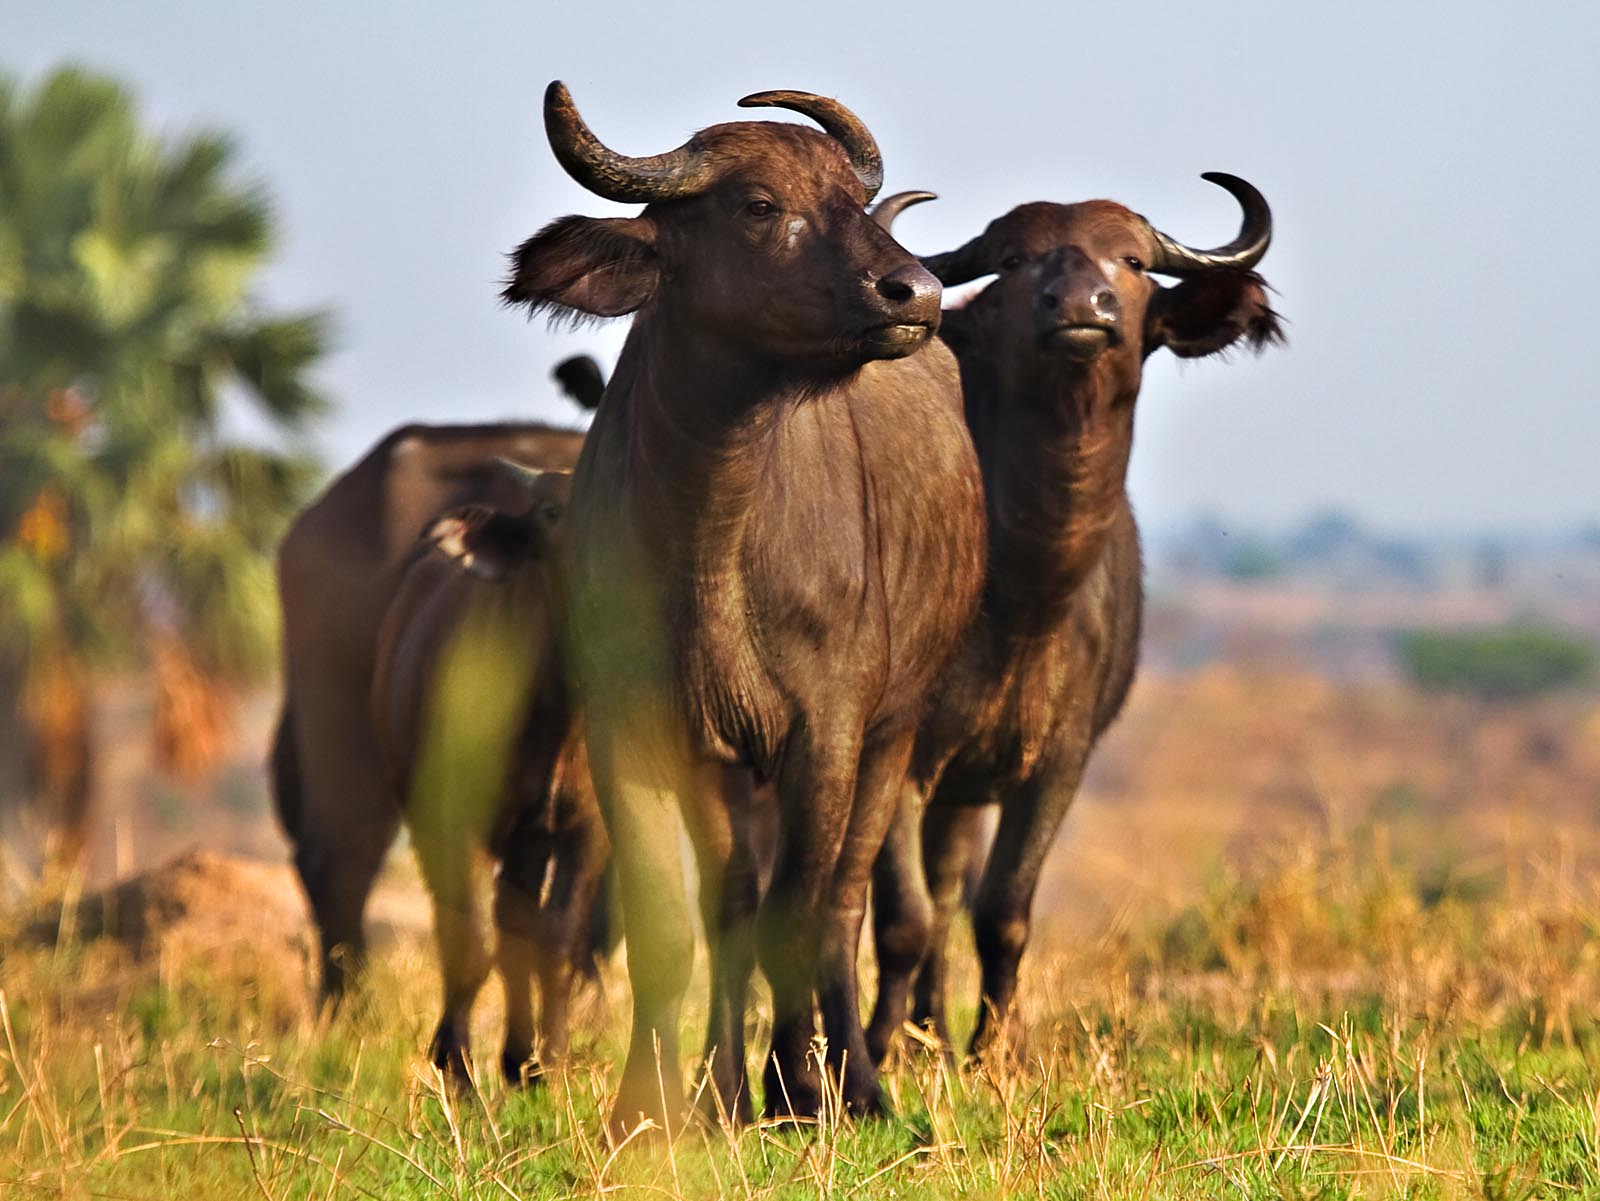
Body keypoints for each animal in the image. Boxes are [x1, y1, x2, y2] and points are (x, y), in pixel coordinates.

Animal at [503, 83, 985, 1129]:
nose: (916, 294)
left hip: (895, 733)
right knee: (729, 899)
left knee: (841, 904)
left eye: (853, 198)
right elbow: (669, 922)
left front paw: (801, 1088)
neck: (710, 536)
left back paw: (853, 1082)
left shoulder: (829, 730)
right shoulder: (631, 725)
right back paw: (720, 1087)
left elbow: (798, 915)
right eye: (760, 205)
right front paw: (648, 1104)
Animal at [866, 178, 1282, 1064]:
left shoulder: (1059, 761)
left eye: (1131, 261)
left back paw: (932, 1031)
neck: (1022, 598)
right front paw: (876, 1048)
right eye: (1017, 262)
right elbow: (900, 916)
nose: (1084, 307)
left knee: (950, 884)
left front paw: (994, 1049)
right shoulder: (899, 755)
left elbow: (1001, 909)